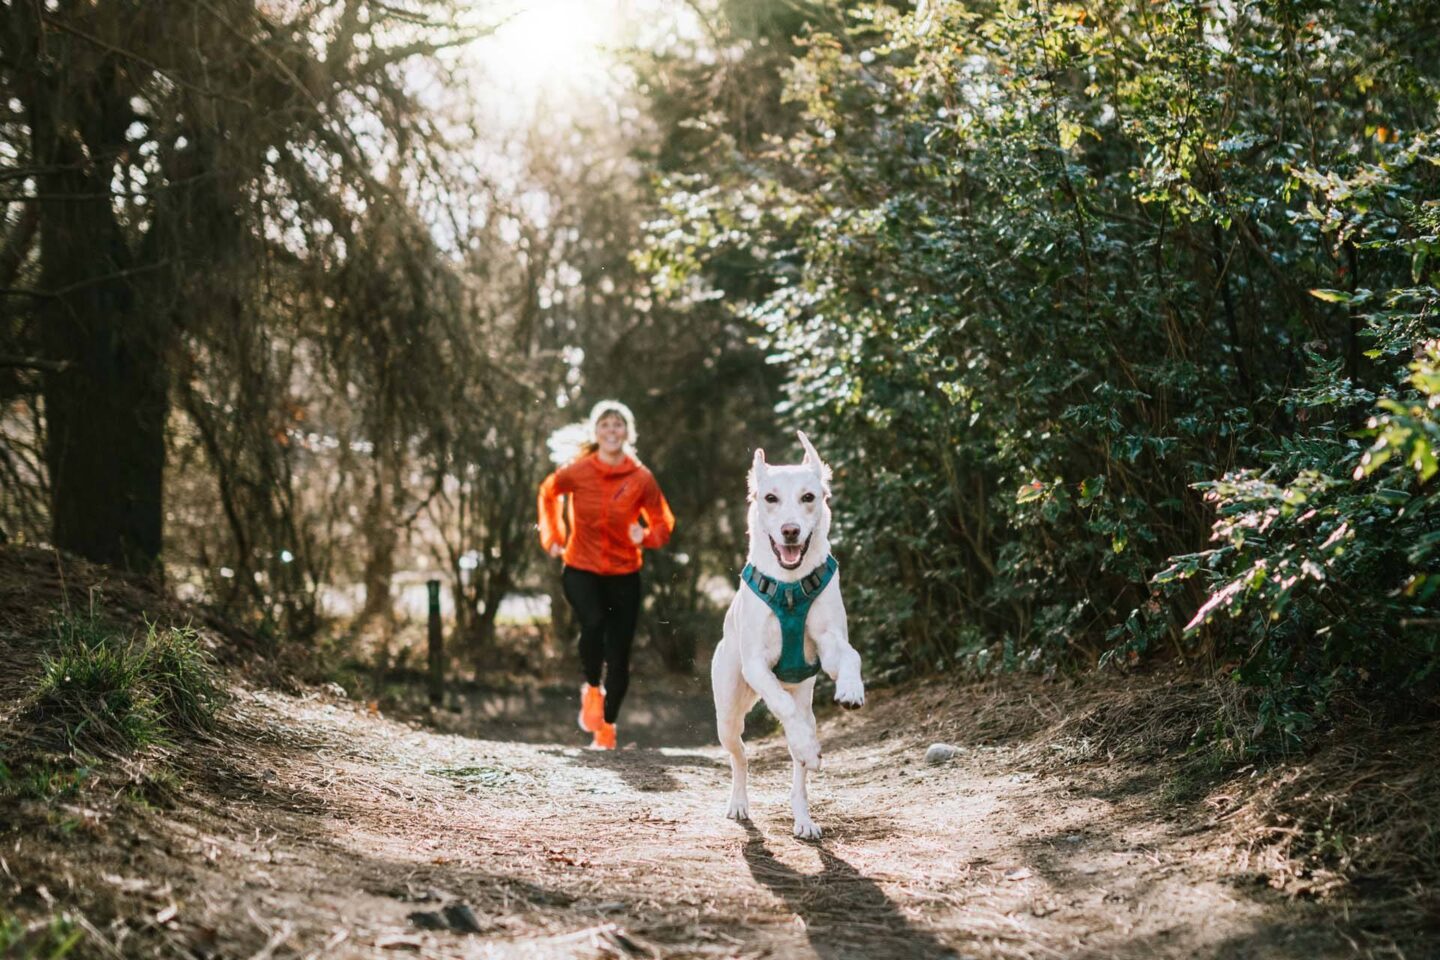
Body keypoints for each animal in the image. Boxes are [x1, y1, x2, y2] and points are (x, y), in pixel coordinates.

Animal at [711, 431, 864, 834]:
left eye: (809, 497)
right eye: (770, 498)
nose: (790, 530)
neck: (791, 586)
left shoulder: (829, 642)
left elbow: (851, 655)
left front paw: (851, 689)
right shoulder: (756, 665)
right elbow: (780, 704)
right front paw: (806, 743)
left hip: (805, 704)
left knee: (799, 765)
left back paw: (803, 815)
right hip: (727, 714)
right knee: (741, 755)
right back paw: (740, 802)